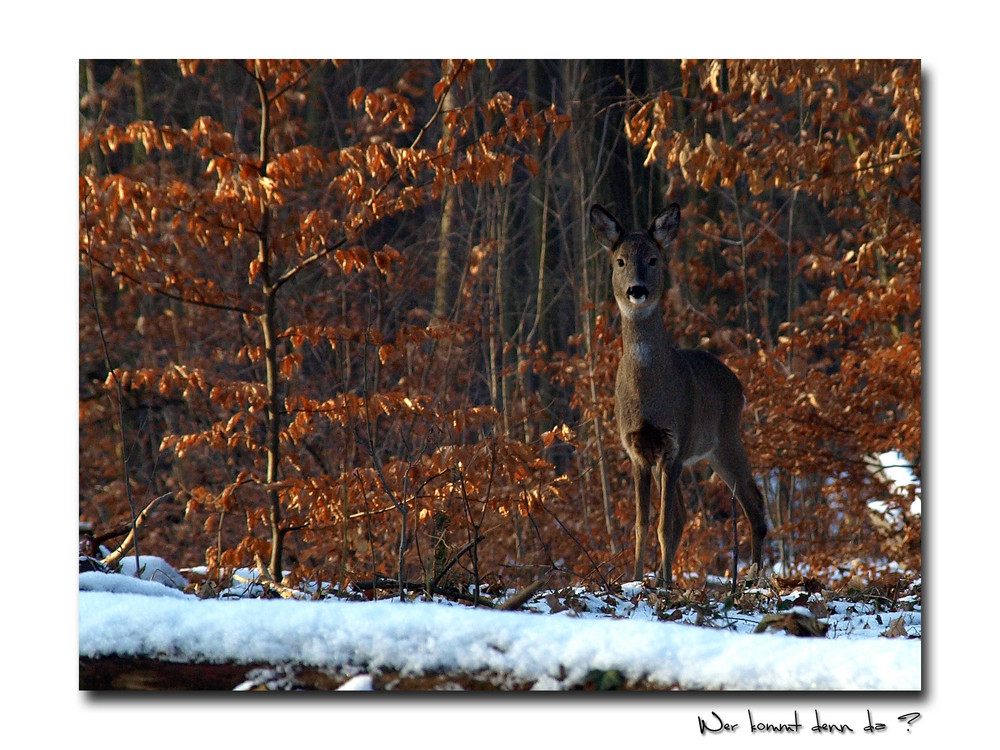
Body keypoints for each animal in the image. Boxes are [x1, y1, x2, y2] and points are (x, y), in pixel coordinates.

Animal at [588, 203, 768, 592]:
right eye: (620, 261)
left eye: (653, 259)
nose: (637, 290)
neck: (649, 395)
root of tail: (738, 385)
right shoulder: (638, 450)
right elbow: (642, 525)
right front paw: (637, 580)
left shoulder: (674, 442)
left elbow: (663, 525)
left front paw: (667, 584)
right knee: (689, 513)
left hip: (724, 439)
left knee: (754, 501)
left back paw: (753, 578)